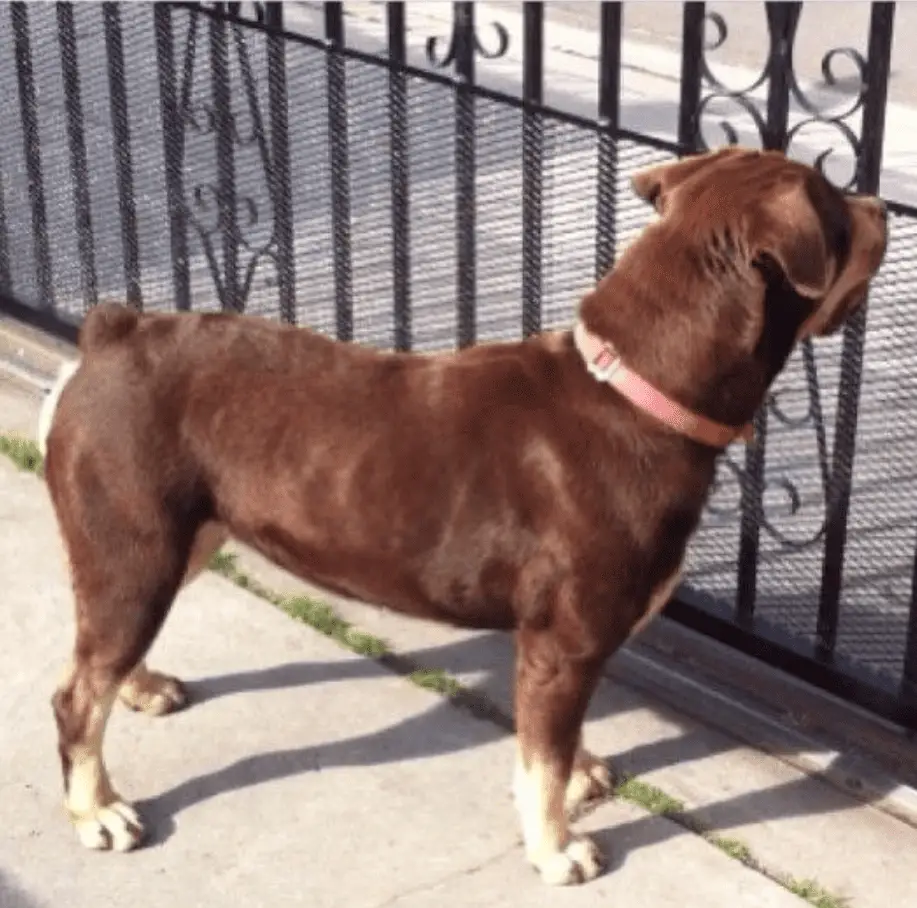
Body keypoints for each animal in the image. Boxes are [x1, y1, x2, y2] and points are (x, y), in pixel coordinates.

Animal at [37, 149, 888, 888]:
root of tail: (113, 334)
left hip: (170, 539)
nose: (881, 205)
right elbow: (540, 758)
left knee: (104, 653)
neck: (635, 392)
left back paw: (139, 685)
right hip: (133, 543)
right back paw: (96, 809)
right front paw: (555, 849)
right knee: (78, 693)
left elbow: (558, 736)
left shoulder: (562, 648)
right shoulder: (563, 642)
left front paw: (577, 777)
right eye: (832, 205)